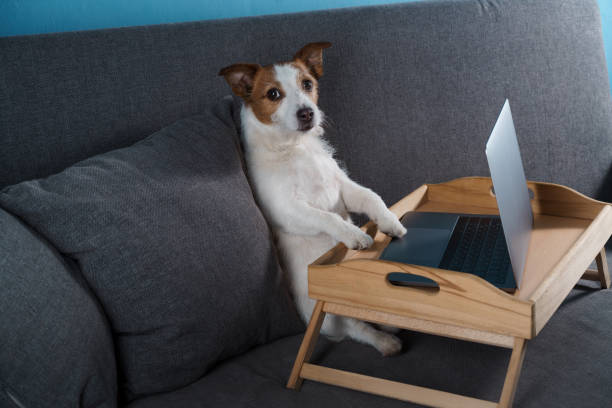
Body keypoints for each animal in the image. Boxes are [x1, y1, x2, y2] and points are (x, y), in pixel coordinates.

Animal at [219, 40, 406, 354]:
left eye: (307, 84)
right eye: (273, 94)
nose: (307, 113)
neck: (295, 148)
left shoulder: (343, 188)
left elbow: (372, 198)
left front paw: (390, 221)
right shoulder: (289, 209)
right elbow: (327, 217)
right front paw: (354, 235)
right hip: (330, 311)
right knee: (354, 327)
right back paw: (384, 340)